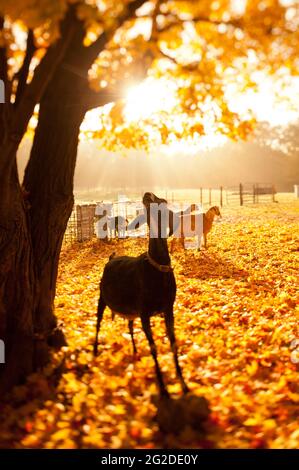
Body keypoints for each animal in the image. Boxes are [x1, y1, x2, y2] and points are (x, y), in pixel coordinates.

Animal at [94, 192, 189, 396]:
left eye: (163, 202)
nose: (148, 194)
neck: (158, 268)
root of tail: (111, 259)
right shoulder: (145, 313)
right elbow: (153, 348)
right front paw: (163, 388)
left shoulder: (168, 309)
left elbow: (173, 343)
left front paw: (183, 383)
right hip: (102, 298)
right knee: (97, 323)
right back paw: (95, 350)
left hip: (131, 309)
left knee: (130, 325)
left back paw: (135, 350)